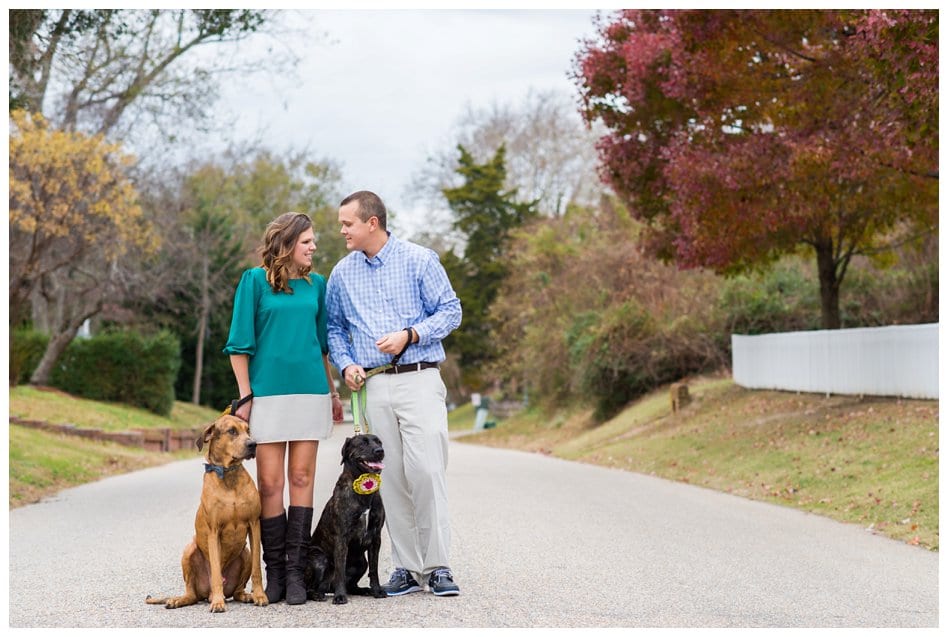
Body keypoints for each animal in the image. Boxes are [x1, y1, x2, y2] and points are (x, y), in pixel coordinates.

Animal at [146, 412, 268, 612]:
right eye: (232, 431)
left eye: (248, 430)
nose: (253, 444)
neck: (228, 474)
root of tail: (205, 594)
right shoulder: (214, 530)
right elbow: (216, 572)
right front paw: (218, 602)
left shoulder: (254, 524)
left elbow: (258, 568)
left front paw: (260, 595)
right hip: (189, 550)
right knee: (192, 594)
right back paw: (181, 600)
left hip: (245, 553)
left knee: (237, 590)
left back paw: (245, 596)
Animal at [308, 434, 388, 604]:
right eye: (362, 443)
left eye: (379, 442)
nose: (380, 451)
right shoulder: (341, 538)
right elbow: (340, 570)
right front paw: (340, 596)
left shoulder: (376, 537)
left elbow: (374, 569)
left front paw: (377, 590)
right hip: (319, 559)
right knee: (310, 587)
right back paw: (318, 594)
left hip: (361, 562)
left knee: (351, 585)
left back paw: (364, 590)